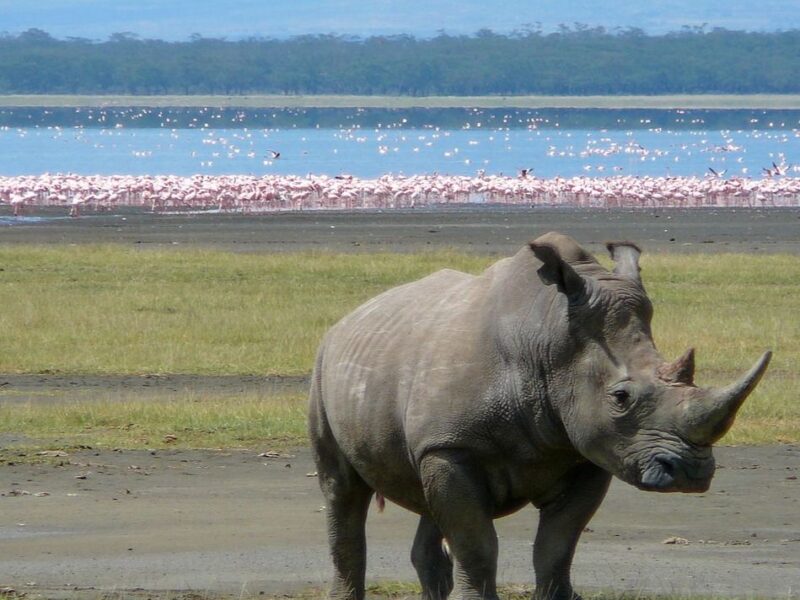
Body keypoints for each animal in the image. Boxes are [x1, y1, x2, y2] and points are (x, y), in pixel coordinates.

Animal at [308, 232, 771, 600]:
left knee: (426, 500)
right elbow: (477, 545)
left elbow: (556, 547)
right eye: (620, 397)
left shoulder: (587, 452)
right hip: (324, 367)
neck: (547, 341)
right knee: (342, 491)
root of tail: (348, 319)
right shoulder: (453, 446)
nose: (690, 473)